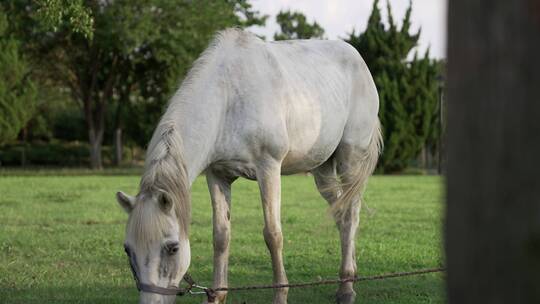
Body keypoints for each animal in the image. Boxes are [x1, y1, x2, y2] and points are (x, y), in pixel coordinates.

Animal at [116, 28, 382, 304]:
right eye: (127, 249)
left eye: (172, 247)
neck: (228, 98)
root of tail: (358, 59)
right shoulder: (217, 175)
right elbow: (221, 235)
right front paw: (217, 295)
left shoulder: (269, 169)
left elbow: (273, 235)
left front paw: (280, 295)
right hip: (323, 171)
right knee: (340, 213)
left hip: (350, 161)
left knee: (351, 214)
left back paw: (347, 288)